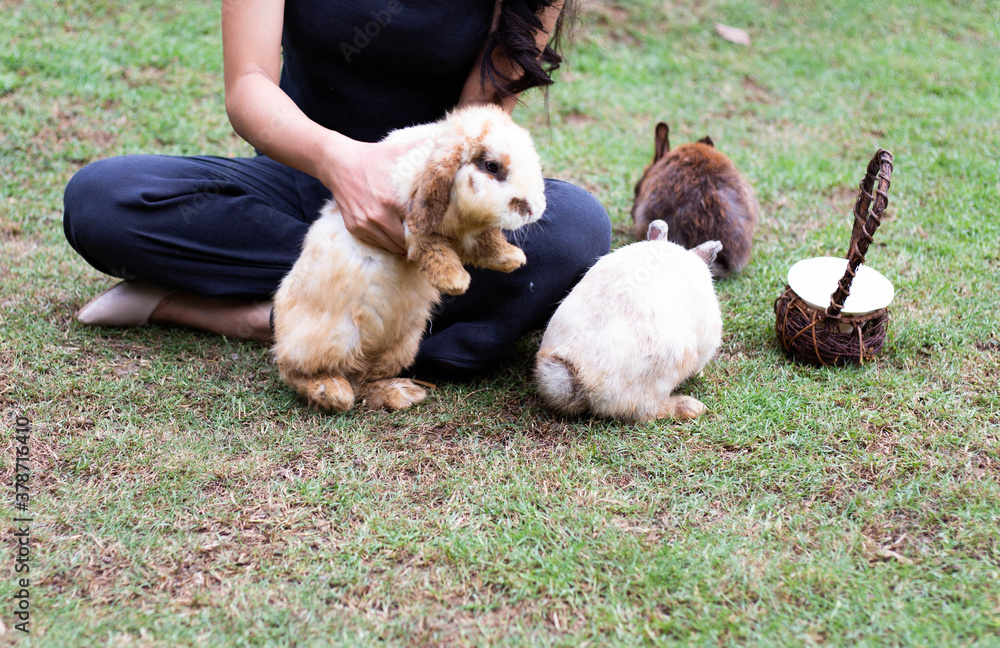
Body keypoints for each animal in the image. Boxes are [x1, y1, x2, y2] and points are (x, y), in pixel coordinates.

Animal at [272, 103, 546, 412]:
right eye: (492, 167)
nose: (534, 209)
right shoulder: (411, 225)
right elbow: (433, 249)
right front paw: (456, 281)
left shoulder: (467, 235)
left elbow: (485, 242)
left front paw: (513, 258)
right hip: (332, 340)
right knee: (296, 371)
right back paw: (332, 392)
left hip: (400, 346)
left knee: (363, 380)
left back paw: (401, 393)